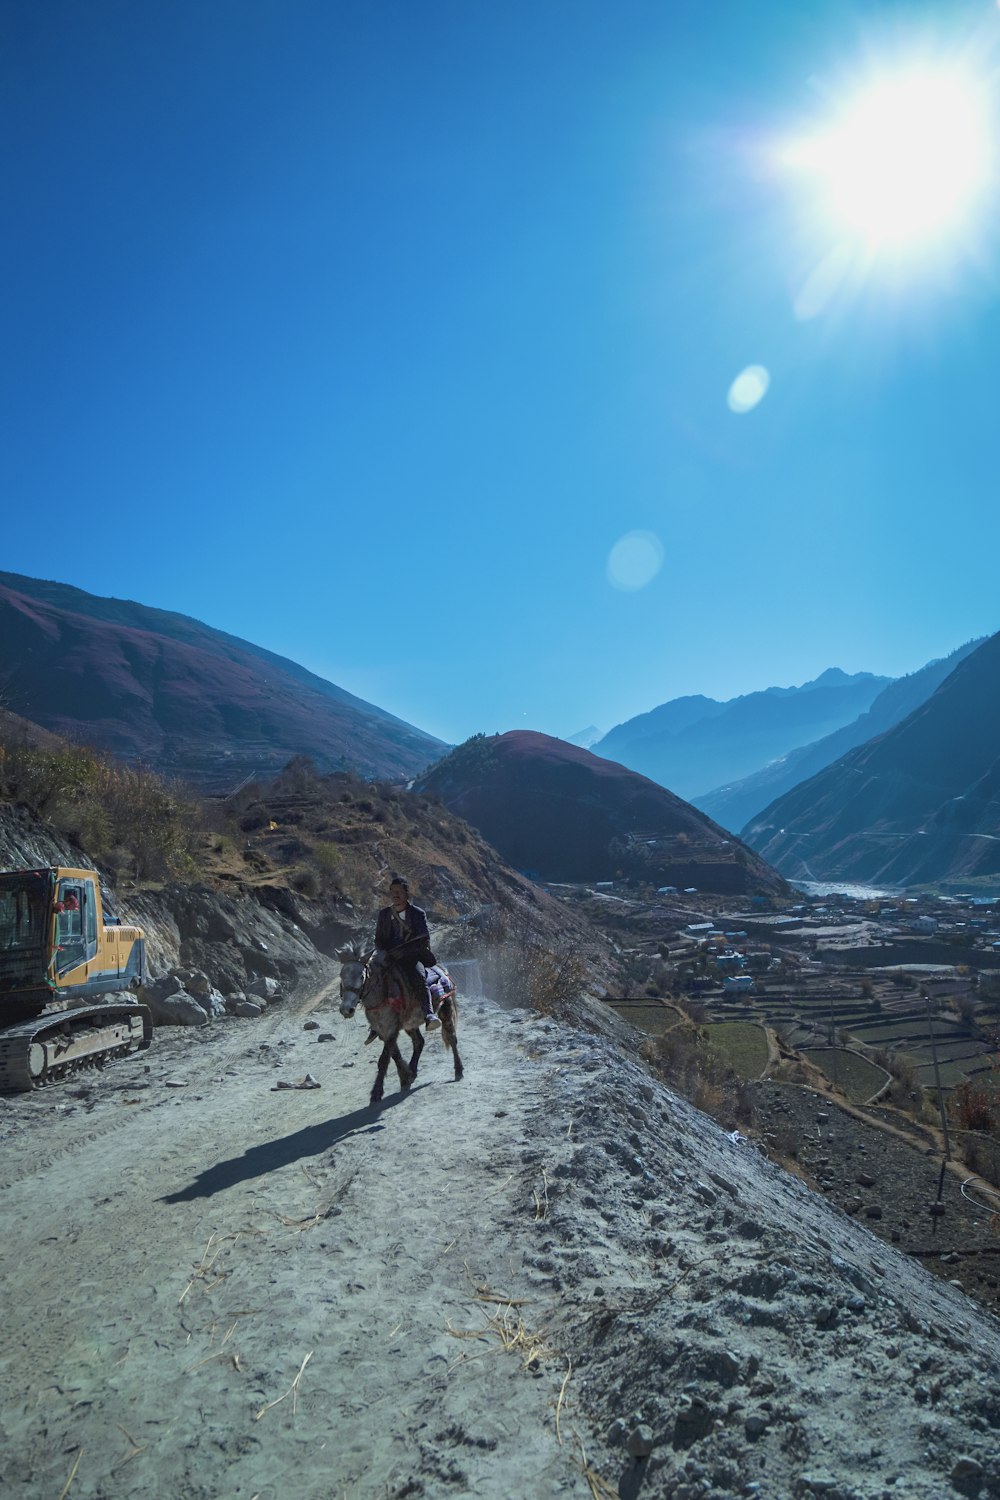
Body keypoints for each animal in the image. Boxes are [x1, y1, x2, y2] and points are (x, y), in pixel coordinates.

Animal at [335, 942, 461, 1110]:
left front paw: (376, 1093)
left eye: (361, 976)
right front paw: (406, 1077)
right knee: (419, 1042)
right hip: (410, 1025)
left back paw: (458, 1071)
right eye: (341, 976)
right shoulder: (383, 1031)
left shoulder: (391, 1029)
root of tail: (442, 970)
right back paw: (413, 1071)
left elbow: (384, 1060)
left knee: (452, 1038)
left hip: (445, 1010)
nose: (346, 1010)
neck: (382, 995)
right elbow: (394, 1055)